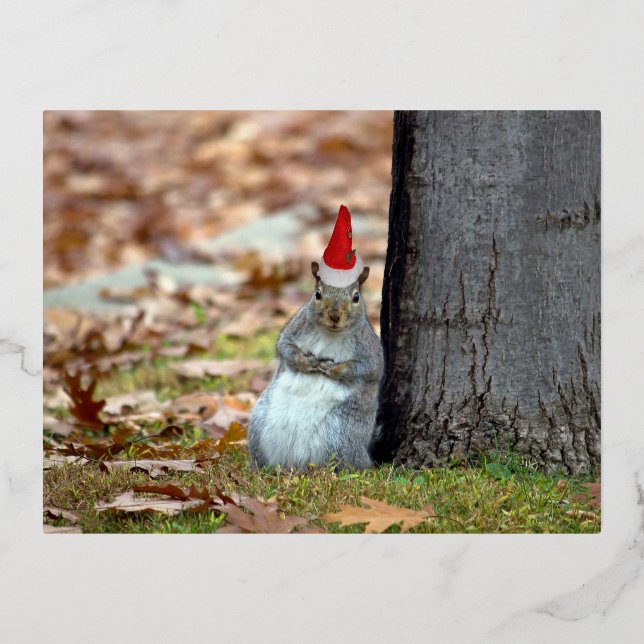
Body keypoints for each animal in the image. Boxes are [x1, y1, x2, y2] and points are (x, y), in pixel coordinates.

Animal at [248, 260, 384, 470]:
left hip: (341, 437)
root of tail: (295, 463)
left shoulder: (370, 351)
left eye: (356, 297)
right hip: (258, 425)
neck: (330, 333)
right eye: (318, 294)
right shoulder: (294, 329)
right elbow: (285, 348)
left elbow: (367, 369)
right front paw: (305, 362)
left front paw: (334, 369)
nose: (334, 315)